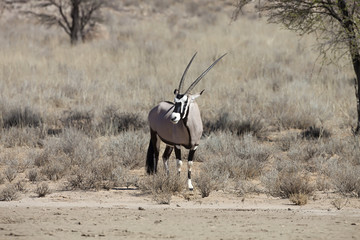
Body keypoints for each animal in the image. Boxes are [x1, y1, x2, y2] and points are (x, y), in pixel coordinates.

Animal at [146, 52, 225, 189]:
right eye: (175, 101)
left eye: (186, 102)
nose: (173, 117)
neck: (190, 128)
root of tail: (156, 107)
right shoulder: (178, 145)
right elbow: (179, 163)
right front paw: (178, 182)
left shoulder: (194, 146)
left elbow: (189, 163)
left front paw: (190, 186)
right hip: (155, 136)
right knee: (156, 155)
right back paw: (156, 177)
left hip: (169, 144)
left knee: (164, 157)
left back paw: (167, 178)